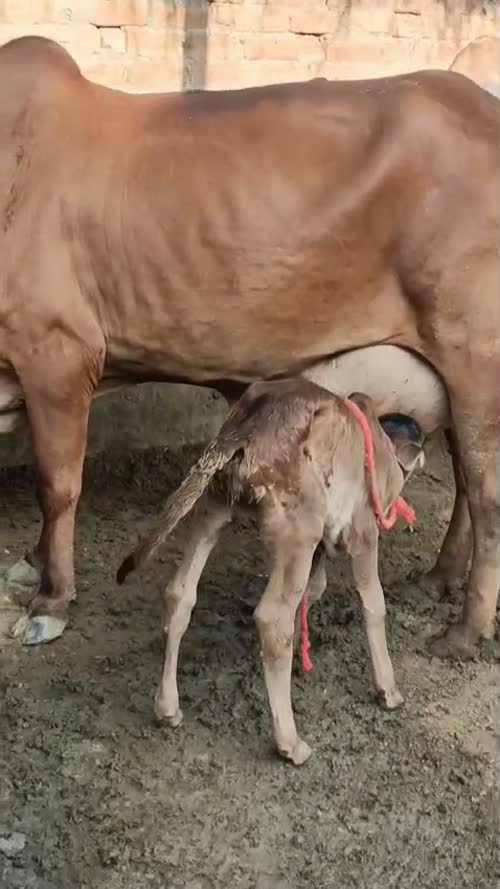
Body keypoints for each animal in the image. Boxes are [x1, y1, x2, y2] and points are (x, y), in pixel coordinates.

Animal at [0, 36, 498, 657]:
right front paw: (31, 566)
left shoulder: (57, 352)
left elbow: (57, 485)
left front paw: (51, 601)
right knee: (466, 482)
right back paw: (438, 578)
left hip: (476, 356)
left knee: (486, 494)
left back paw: (465, 631)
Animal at [117, 379, 425, 764]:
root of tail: (245, 429)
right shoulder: (362, 531)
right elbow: (373, 604)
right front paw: (388, 690)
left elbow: (314, 590)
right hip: (300, 526)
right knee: (271, 618)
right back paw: (290, 742)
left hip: (215, 505)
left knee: (180, 593)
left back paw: (168, 708)